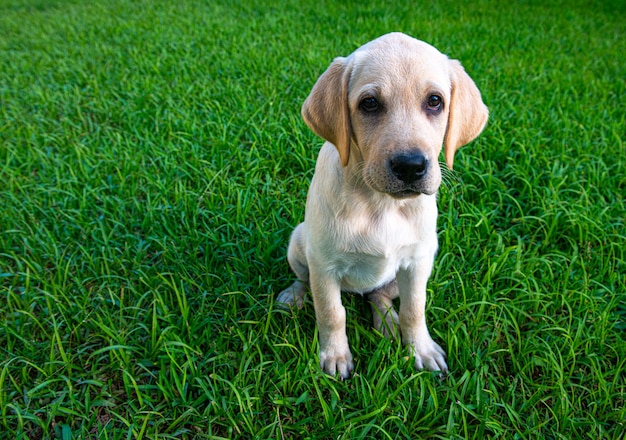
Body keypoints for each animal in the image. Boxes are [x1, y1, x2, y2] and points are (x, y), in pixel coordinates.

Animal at [278, 31, 488, 378]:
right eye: (370, 103)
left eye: (435, 101)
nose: (410, 166)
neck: (380, 204)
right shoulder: (324, 265)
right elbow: (332, 312)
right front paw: (336, 356)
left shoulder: (417, 263)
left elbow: (415, 309)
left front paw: (421, 349)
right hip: (299, 241)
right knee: (304, 279)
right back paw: (294, 295)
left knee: (380, 295)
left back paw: (388, 325)